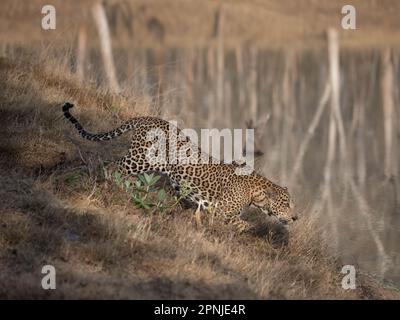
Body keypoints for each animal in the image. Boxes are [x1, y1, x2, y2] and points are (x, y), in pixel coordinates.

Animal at [62, 102, 296, 232]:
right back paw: (112, 187)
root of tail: (147, 118)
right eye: (286, 204)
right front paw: (244, 229)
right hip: (139, 159)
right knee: (112, 167)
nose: (296, 218)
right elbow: (238, 223)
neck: (256, 194)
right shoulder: (220, 211)